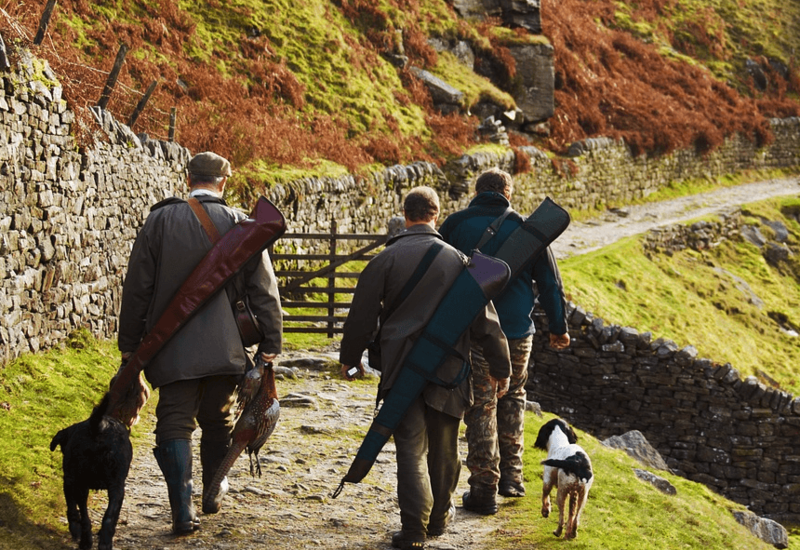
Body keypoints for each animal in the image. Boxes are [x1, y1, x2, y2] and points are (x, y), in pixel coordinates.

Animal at [50, 394, 133, 548]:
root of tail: (98, 426)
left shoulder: (69, 480)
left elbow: (72, 507)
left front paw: (74, 528)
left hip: (79, 481)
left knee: (83, 516)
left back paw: (83, 538)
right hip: (116, 487)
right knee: (107, 518)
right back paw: (104, 543)